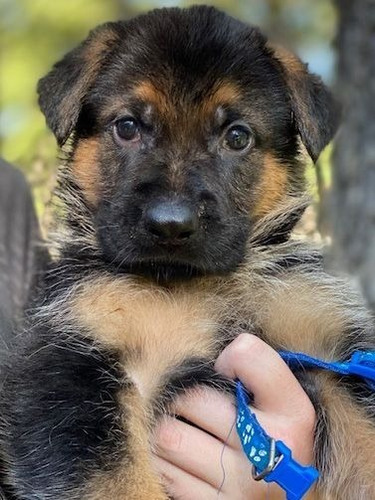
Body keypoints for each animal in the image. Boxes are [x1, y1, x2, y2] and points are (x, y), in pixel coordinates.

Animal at [0, 4, 375, 500]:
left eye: (237, 136)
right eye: (127, 127)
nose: (170, 225)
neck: (196, 285)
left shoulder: (333, 352)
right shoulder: (74, 367)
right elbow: (121, 484)